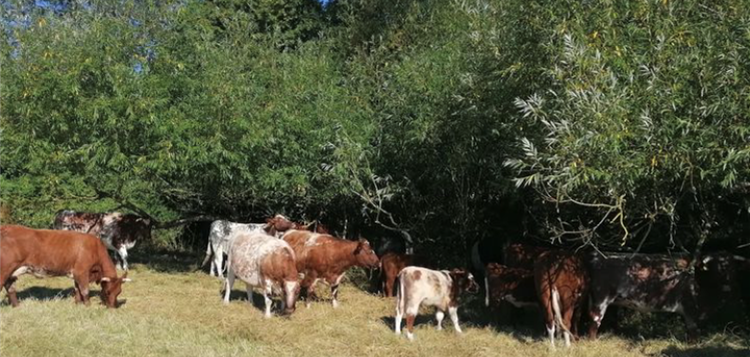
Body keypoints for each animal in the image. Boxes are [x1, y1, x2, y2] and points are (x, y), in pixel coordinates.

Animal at [0, 224, 129, 308]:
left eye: (119, 292)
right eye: (108, 292)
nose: (112, 307)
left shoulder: (76, 273)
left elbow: (77, 290)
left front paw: (78, 304)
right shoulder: (82, 272)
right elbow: (85, 290)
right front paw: (88, 306)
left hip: (11, 273)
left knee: (10, 288)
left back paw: (17, 306)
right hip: (4, 270)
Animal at [592, 249, 748, 340]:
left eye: (732, 266)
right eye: (717, 265)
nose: (727, 279)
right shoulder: (689, 309)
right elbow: (693, 332)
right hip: (600, 300)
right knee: (594, 321)